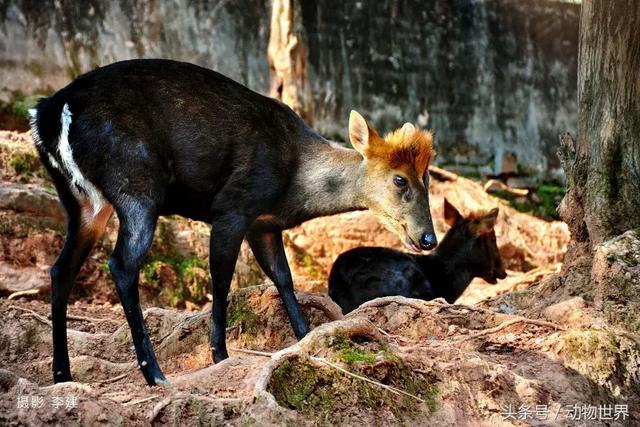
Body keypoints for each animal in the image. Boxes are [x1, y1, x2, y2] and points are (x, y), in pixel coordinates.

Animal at [31, 57, 440, 388]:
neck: (295, 181)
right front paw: (220, 354)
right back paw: (155, 373)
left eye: (427, 178)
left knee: (60, 269)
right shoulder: (233, 207)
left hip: (82, 201)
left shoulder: (264, 224)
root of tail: (50, 112)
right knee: (121, 265)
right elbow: (223, 278)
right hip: (136, 185)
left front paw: (306, 337)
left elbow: (283, 277)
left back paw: (62, 373)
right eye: (400, 180)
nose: (428, 238)